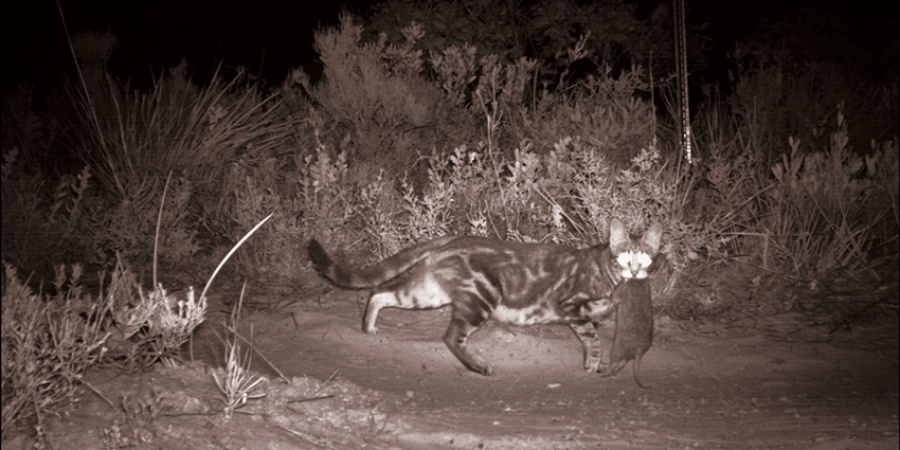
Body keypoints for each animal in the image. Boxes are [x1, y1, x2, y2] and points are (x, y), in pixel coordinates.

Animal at [310, 220, 660, 374]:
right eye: (625, 256)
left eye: (646, 257)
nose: (635, 271)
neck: (608, 274)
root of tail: (452, 238)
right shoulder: (570, 304)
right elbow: (592, 338)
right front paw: (592, 363)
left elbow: (597, 328)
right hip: (481, 298)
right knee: (451, 336)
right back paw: (479, 366)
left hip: (428, 292)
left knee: (379, 292)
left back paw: (368, 328)